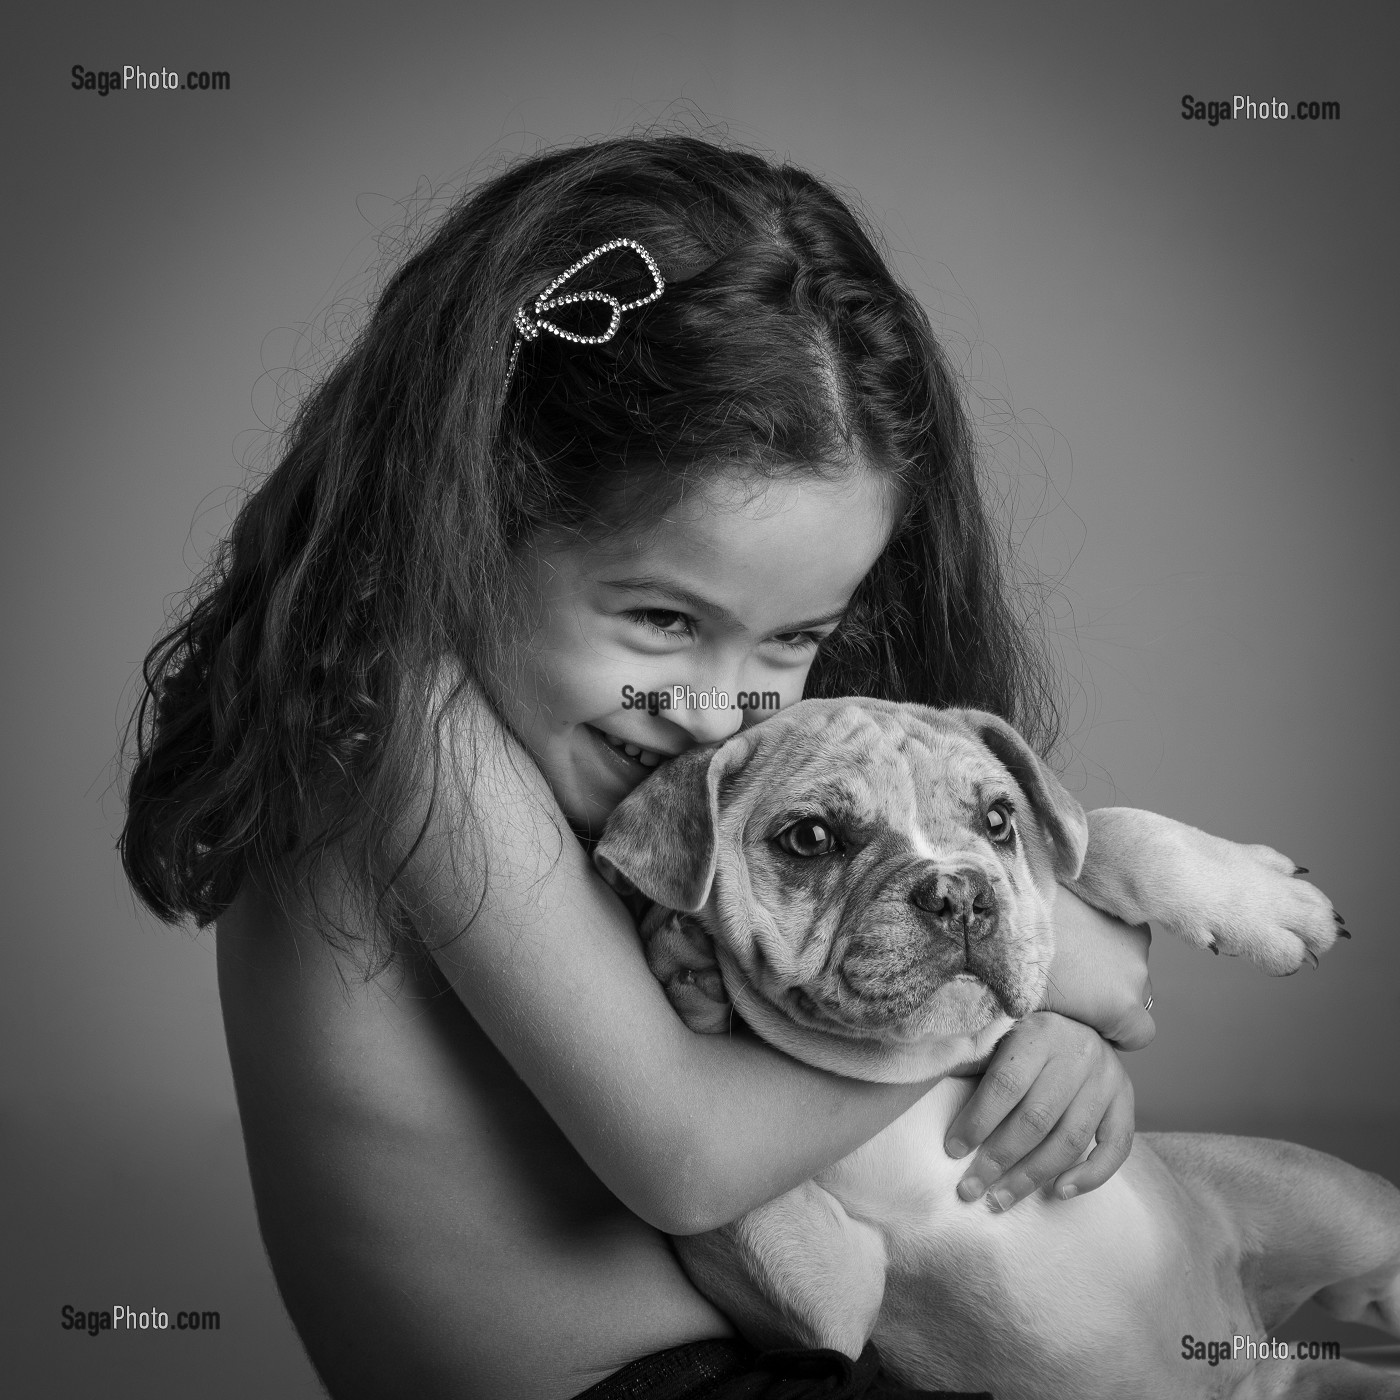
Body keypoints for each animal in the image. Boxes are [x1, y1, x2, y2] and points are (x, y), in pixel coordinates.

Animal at [590, 700, 1400, 1400]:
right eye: (811, 839)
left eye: (999, 820)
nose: (959, 891)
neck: (911, 1068)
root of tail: (1269, 1358)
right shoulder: (823, 1309)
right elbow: (733, 1208)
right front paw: (688, 963)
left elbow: (1097, 833)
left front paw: (1262, 902)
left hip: (1330, 1199)